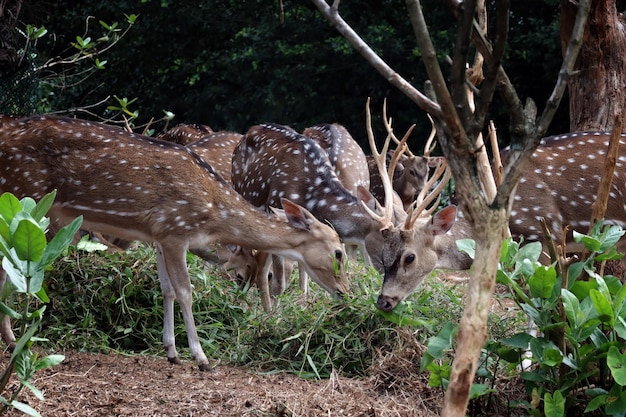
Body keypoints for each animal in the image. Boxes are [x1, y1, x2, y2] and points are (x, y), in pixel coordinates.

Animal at [0, 114, 348, 370]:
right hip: (24, 197)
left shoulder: (157, 236)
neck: (213, 213)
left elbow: (165, 289)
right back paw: (13, 340)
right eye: (339, 252)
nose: (345, 292)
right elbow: (185, 290)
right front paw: (201, 358)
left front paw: (172, 352)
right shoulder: (175, 230)